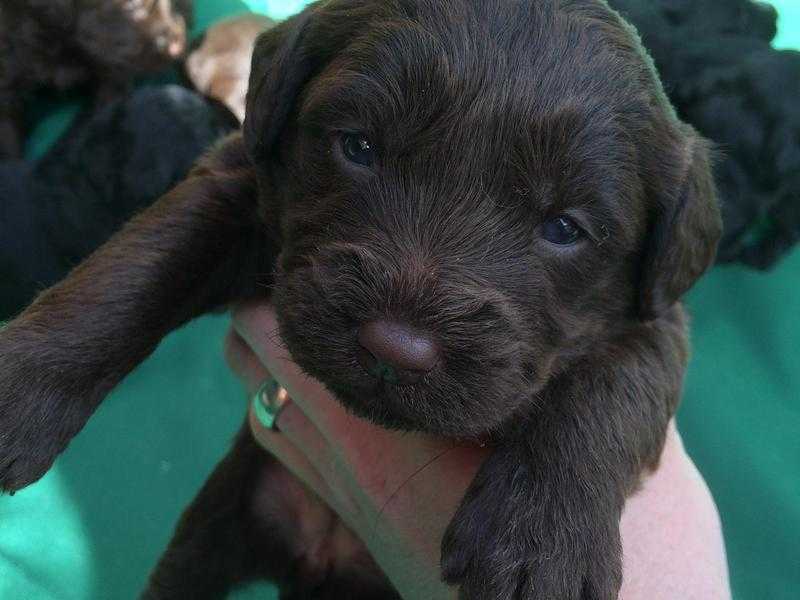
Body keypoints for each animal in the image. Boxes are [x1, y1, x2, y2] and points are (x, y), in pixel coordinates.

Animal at [0, 2, 724, 596]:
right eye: (359, 146)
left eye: (565, 228)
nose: (396, 350)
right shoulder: (243, 186)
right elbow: (140, 266)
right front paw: (22, 389)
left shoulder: (656, 314)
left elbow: (610, 384)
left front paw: (543, 544)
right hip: (220, 518)